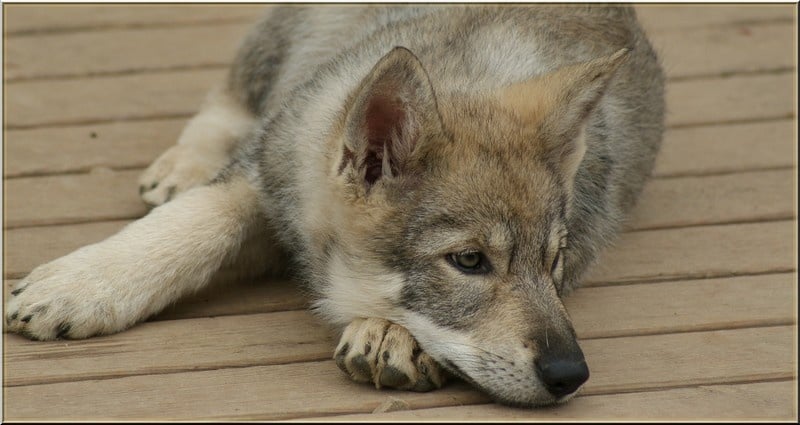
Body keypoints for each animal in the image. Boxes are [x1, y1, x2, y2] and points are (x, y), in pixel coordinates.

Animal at [6, 4, 664, 406]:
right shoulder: (273, 169)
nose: (570, 375)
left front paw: (390, 334)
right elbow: (194, 221)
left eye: (556, 263)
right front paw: (82, 284)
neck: (465, 73)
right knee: (228, 100)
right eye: (469, 262)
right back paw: (181, 166)